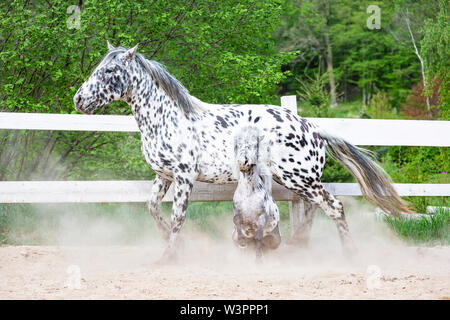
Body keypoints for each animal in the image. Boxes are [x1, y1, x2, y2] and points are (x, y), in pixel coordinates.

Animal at [232, 125, 282, 260]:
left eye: (255, 144)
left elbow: (258, 236)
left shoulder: (262, 217)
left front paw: (258, 259)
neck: (248, 193)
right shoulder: (237, 212)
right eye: (238, 144)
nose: (242, 162)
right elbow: (236, 220)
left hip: (275, 241)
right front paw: (242, 241)